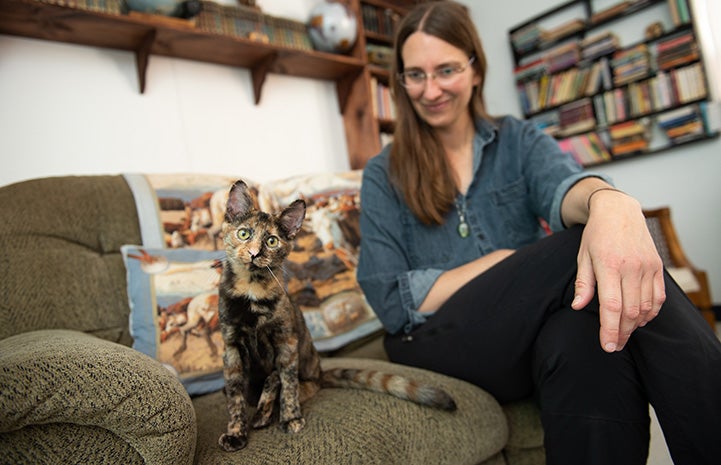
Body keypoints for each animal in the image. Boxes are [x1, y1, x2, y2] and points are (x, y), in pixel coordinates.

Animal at [215, 180, 456, 450]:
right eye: (244, 234)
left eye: (272, 241)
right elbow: (235, 396)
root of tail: (320, 374)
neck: (252, 290)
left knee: (283, 382)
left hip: (304, 371)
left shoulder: (286, 341)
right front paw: (236, 432)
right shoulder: (232, 348)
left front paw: (290, 418)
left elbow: (286, 384)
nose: (255, 253)